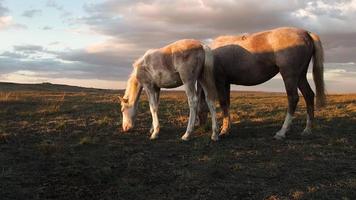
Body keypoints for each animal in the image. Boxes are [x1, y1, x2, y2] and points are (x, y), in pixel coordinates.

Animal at [197, 26, 326, 139]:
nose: (201, 127)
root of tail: (306, 33)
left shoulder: (220, 81)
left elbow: (223, 104)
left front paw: (223, 131)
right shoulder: (227, 83)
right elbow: (227, 105)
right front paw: (227, 128)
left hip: (290, 76)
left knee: (293, 99)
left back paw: (282, 132)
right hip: (300, 76)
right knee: (309, 95)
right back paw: (307, 130)